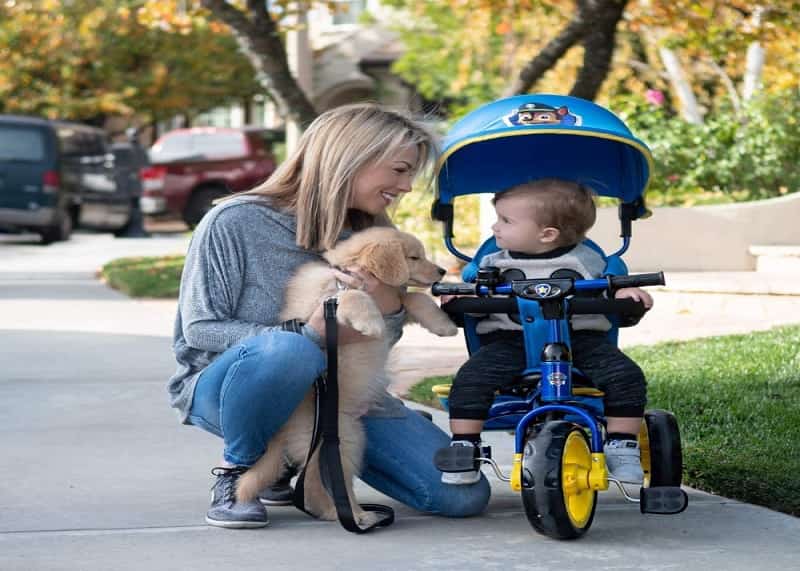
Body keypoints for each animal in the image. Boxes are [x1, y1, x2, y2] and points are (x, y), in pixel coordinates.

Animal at [234, 226, 456, 524]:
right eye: (414, 257)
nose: (442, 271)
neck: (353, 274)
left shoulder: (392, 304)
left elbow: (412, 297)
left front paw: (444, 325)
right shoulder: (325, 304)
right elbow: (353, 297)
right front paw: (371, 323)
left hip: (349, 441)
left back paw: (353, 513)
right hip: (338, 441)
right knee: (315, 483)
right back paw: (347, 514)